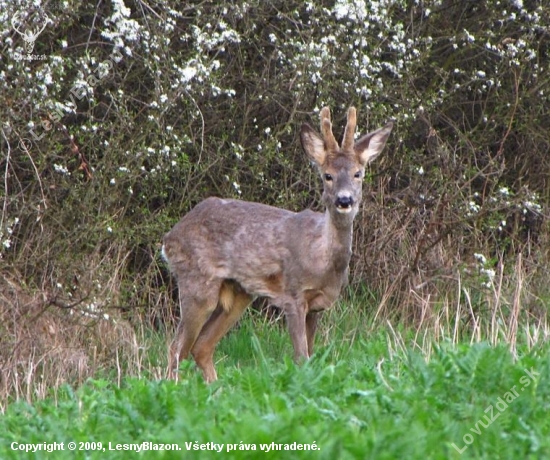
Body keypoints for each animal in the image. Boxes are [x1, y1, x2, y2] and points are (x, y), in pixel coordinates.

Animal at [162, 107, 394, 380]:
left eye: (358, 174)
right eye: (328, 176)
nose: (344, 200)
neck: (323, 260)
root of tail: (169, 238)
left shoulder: (317, 306)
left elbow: (312, 355)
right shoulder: (293, 296)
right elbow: (301, 357)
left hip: (237, 293)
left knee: (201, 347)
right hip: (197, 283)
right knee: (176, 348)